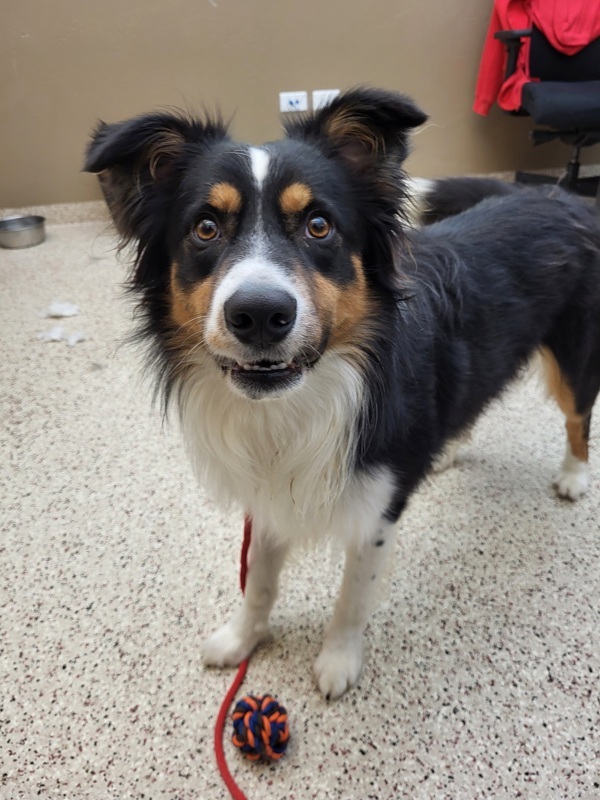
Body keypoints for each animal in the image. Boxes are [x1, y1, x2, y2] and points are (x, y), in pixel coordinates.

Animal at [84, 87, 600, 696]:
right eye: (205, 228)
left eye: (319, 225)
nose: (259, 315)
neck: (301, 396)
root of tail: (560, 194)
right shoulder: (268, 494)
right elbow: (258, 578)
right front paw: (241, 638)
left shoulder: (377, 509)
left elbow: (354, 596)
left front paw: (337, 661)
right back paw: (448, 449)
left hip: (575, 355)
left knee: (578, 416)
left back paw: (573, 476)